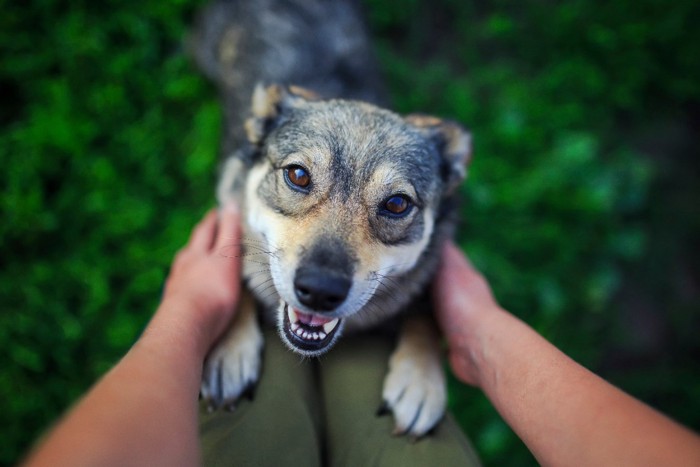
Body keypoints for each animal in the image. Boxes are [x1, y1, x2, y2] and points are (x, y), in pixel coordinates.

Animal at [191, 0, 470, 438]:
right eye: (298, 175)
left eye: (397, 204)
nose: (320, 291)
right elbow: (236, 273)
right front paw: (229, 350)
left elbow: (423, 309)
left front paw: (421, 379)